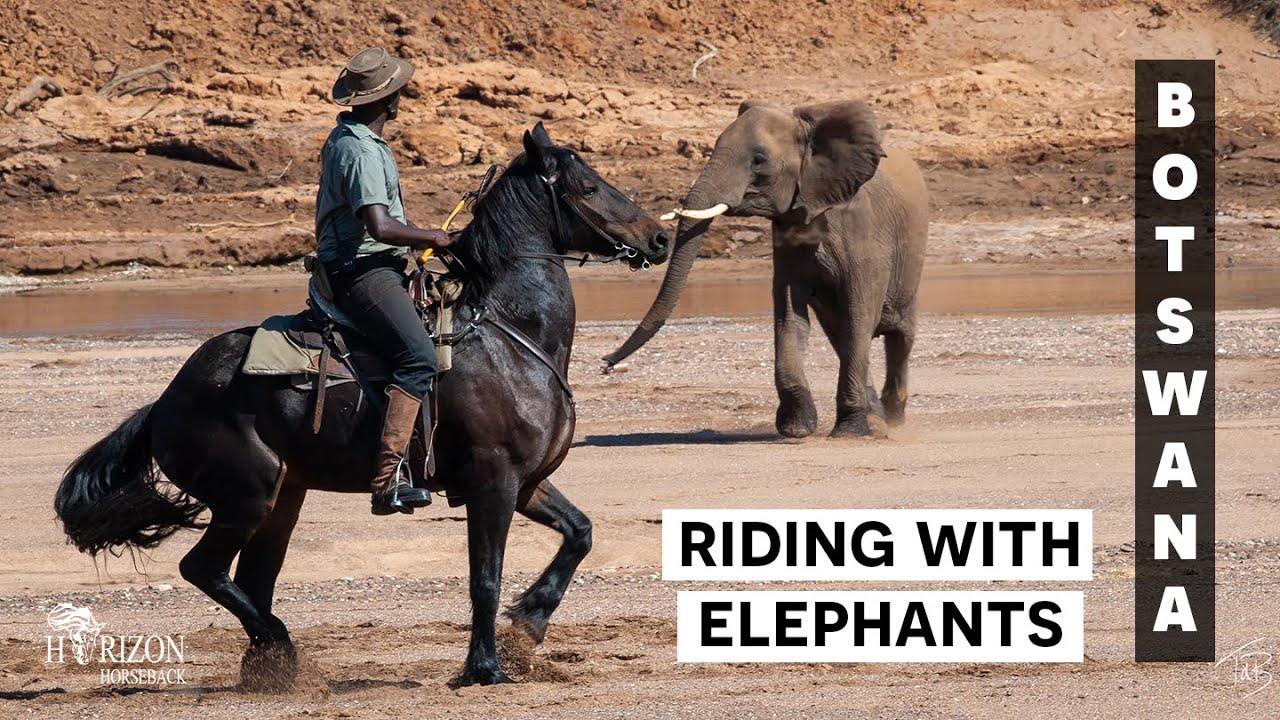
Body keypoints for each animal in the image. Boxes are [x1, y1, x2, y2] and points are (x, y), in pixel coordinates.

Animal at [54, 122, 670, 688]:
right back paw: (281, 647)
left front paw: (530, 623)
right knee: (203, 568)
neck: (512, 337)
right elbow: (485, 579)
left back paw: (273, 664)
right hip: (247, 498)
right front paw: (485, 668)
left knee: (251, 580)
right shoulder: (492, 481)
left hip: (284, 499)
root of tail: (164, 403)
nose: (660, 238)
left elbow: (580, 533)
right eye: (588, 186)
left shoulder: (526, 482)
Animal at [604, 99, 928, 438]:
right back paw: (878, 418)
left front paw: (850, 432)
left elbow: (859, 313)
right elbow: (789, 315)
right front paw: (796, 428)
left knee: (897, 334)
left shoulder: (864, 234)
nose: (606, 364)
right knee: (840, 332)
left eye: (759, 160)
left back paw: (892, 418)